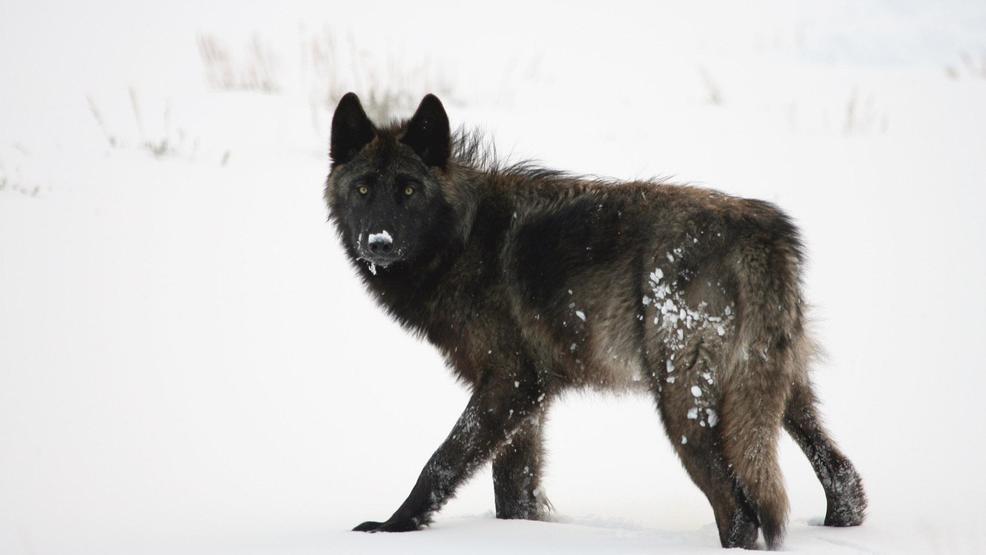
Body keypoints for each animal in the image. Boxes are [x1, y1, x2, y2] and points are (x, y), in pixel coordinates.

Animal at [324, 92, 866, 549]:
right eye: (364, 188)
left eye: (409, 189)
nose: (378, 242)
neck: (462, 238)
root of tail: (761, 232)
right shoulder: (529, 401)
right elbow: (513, 493)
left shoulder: (509, 383)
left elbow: (440, 463)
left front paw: (391, 527)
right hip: (779, 392)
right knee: (844, 479)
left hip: (683, 406)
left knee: (739, 512)